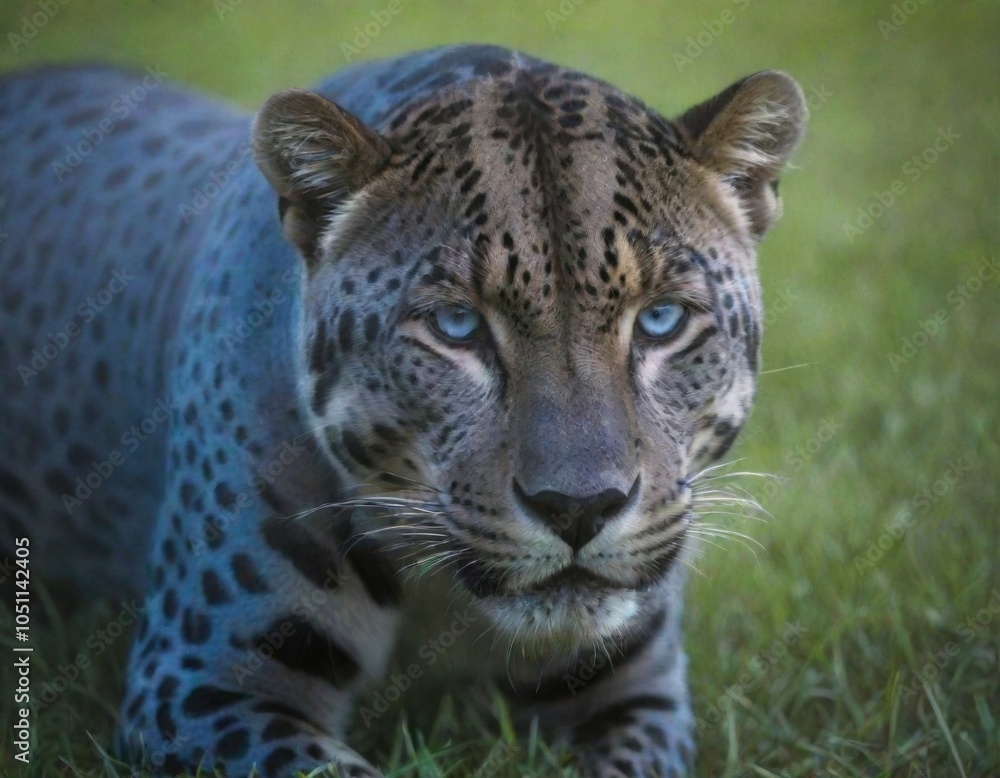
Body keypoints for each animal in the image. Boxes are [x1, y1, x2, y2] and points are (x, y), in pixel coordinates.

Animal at [0, 44, 805, 777]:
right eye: (456, 327)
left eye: (662, 320)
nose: (578, 508)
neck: (444, 605)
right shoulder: (202, 684)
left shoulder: (638, 693)